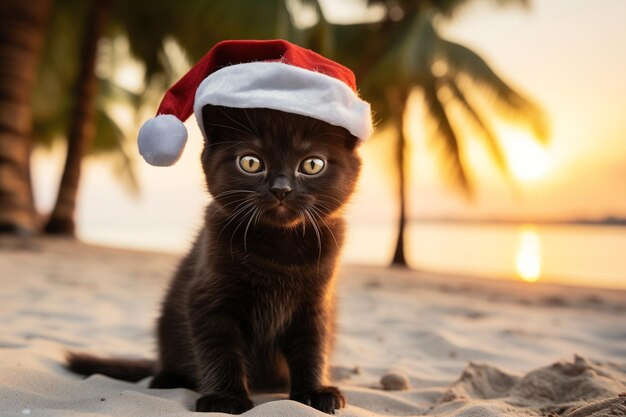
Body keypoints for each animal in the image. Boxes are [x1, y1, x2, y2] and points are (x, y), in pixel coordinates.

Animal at [67, 105, 360, 412]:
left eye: (312, 165)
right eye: (251, 162)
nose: (281, 189)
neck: (278, 248)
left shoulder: (316, 304)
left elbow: (312, 347)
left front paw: (314, 392)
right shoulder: (209, 298)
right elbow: (220, 350)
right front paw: (225, 398)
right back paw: (167, 377)